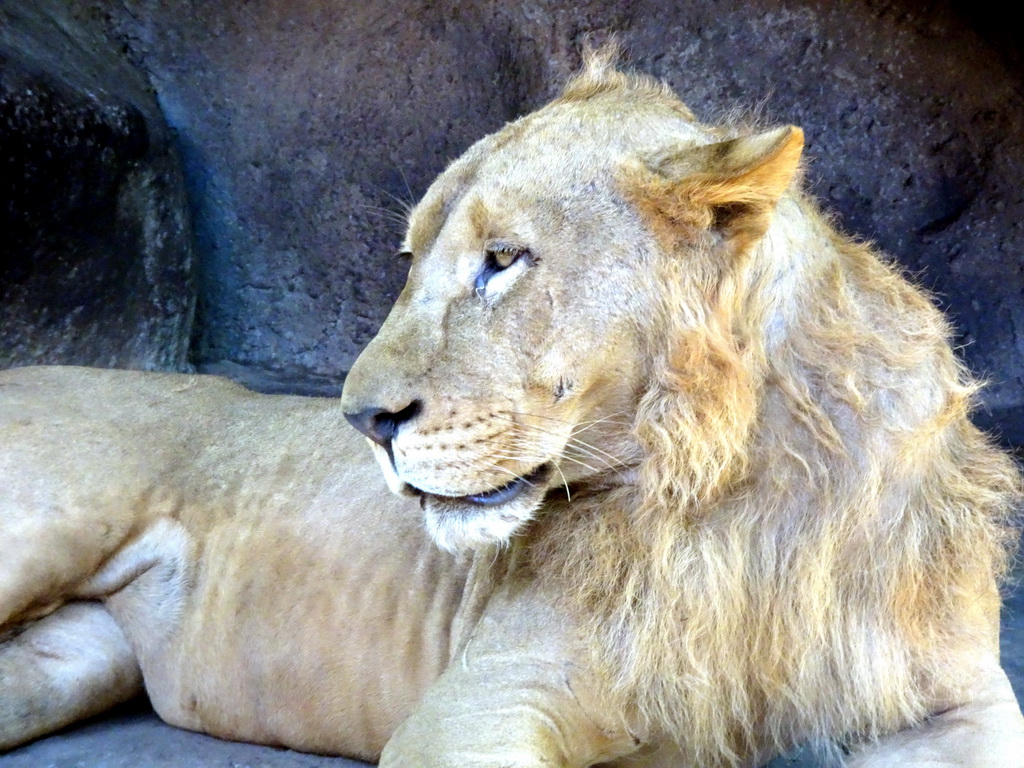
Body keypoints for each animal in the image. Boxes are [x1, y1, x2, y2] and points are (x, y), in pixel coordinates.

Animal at [2, 51, 1024, 765]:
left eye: (503, 261)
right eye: (410, 259)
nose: (361, 420)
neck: (732, 480)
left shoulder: (959, 700)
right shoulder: (485, 703)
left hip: (76, 662)